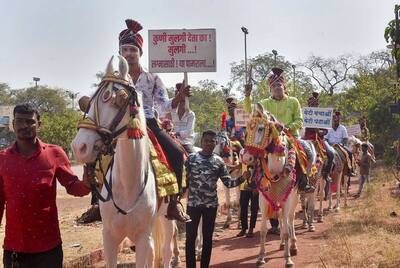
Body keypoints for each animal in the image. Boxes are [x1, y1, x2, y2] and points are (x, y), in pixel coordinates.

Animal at [72, 55, 175, 266]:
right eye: (88, 101)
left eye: (117, 98)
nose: (79, 147)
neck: (128, 185)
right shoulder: (109, 237)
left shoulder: (143, 238)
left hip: (166, 216)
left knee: (167, 250)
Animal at [239, 106, 298, 268]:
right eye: (247, 130)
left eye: (261, 129)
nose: (246, 158)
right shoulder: (264, 199)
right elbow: (263, 230)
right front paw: (260, 257)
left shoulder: (287, 199)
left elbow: (286, 229)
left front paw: (288, 259)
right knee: (282, 219)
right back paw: (282, 244)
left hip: (294, 197)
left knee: (290, 219)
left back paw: (292, 245)